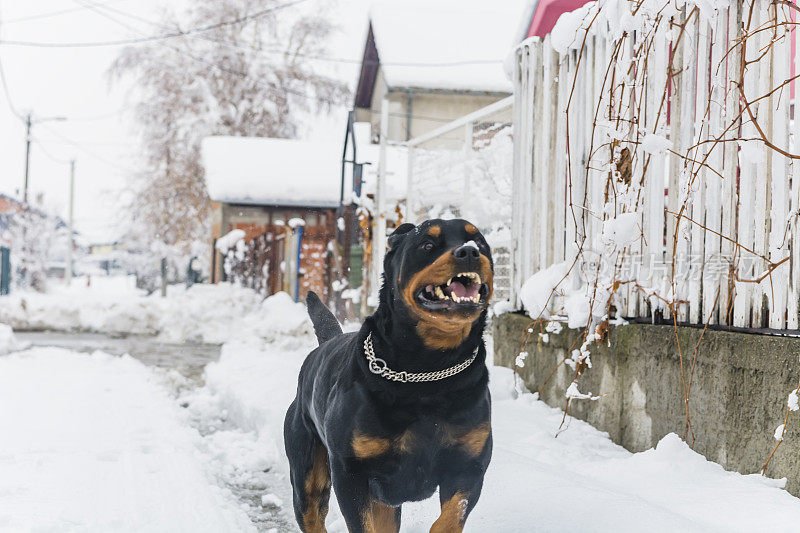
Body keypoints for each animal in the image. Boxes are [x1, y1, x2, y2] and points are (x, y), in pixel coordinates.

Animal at [284, 218, 490, 528]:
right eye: (427, 244)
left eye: (479, 241)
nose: (468, 252)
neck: (429, 370)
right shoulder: (351, 472)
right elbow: (362, 523)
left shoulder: (468, 466)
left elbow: (451, 517)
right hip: (307, 471)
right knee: (310, 512)